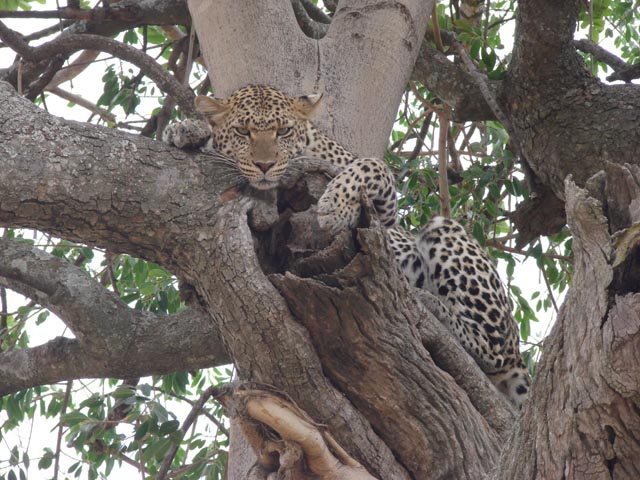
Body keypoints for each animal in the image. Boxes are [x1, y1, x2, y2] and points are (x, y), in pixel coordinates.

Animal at [164, 83, 528, 408]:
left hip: (446, 233)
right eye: (243, 131)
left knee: (493, 351)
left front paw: (334, 206)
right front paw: (186, 129)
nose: (265, 166)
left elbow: (369, 165)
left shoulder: (386, 218)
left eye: (282, 132)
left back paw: (433, 304)